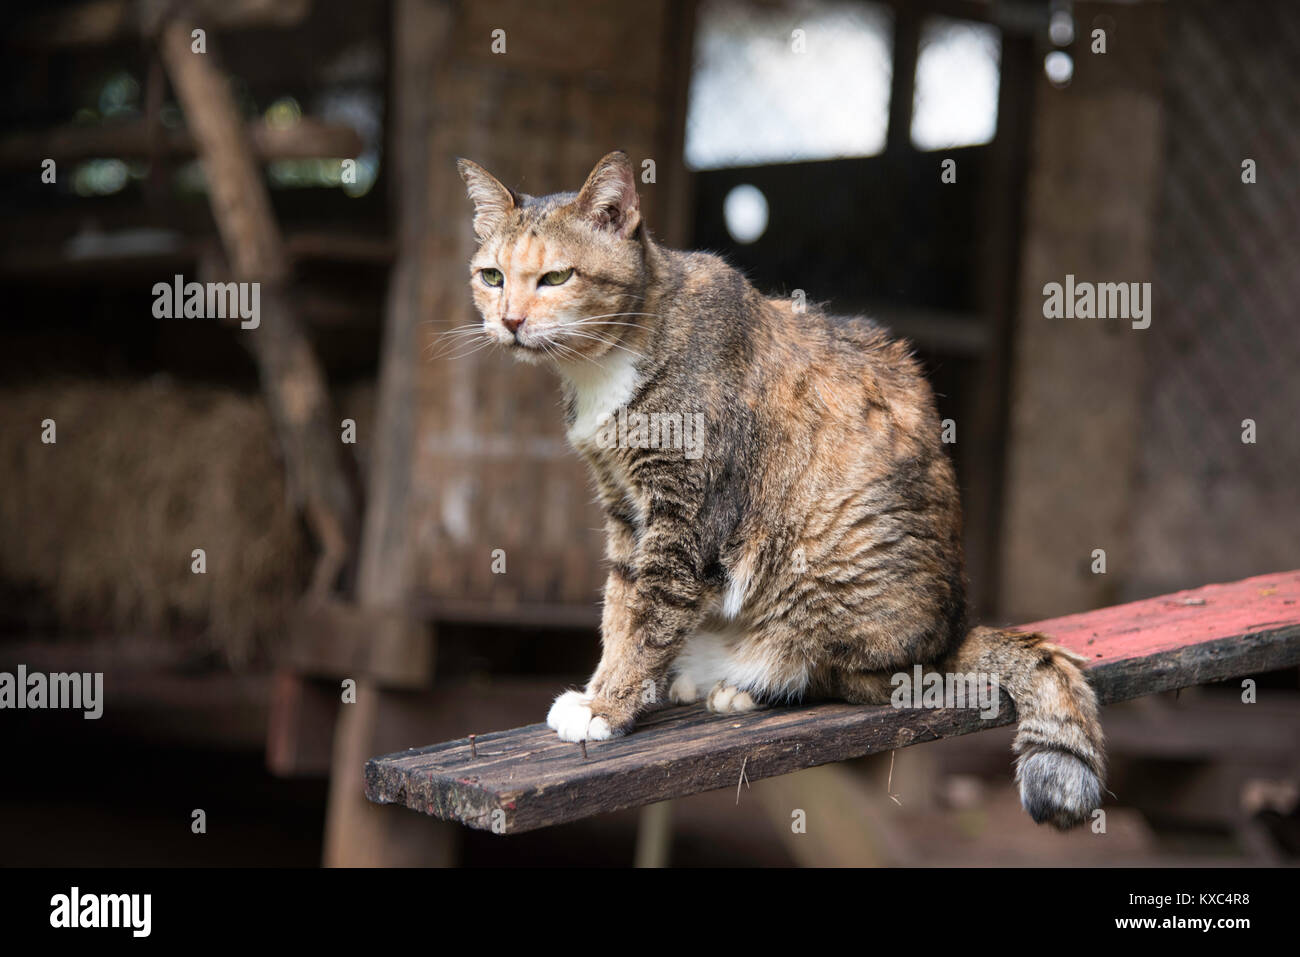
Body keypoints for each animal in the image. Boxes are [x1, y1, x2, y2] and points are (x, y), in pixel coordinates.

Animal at [457, 151, 1107, 832]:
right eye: (492, 276)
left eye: (556, 276)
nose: (510, 321)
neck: (607, 362)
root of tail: (955, 633)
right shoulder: (624, 507)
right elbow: (620, 606)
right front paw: (606, 688)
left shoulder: (685, 515)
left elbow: (647, 617)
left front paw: (605, 707)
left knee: (856, 678)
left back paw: (744, 684)